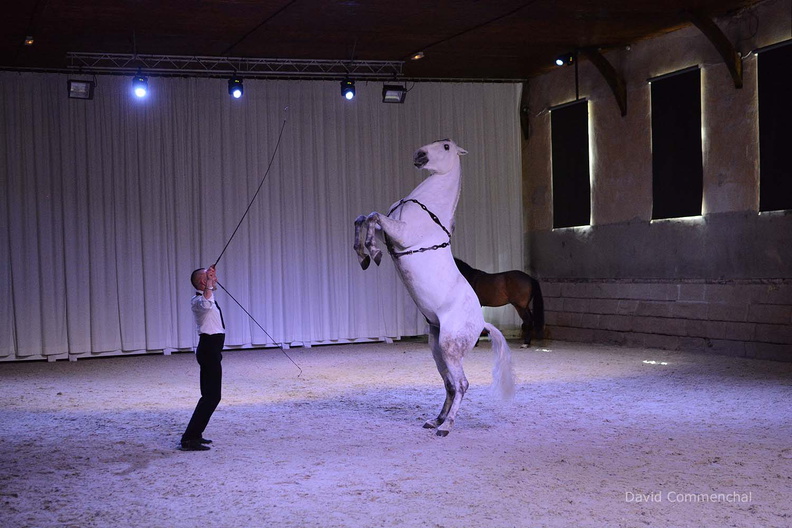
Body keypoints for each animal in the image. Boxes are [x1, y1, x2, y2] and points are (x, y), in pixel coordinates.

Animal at [354, 138, 516, 436]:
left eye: (446, 147)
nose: (419, 155)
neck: (428, 206)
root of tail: (482, 324)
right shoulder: (390, 232)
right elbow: (363, 218)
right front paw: (364, 255)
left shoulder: (402, 234)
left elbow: (373, 216)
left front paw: (372, 253)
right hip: (436, 347)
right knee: (450, 384)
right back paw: (435, 420)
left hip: (450, 347)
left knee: (461, 384)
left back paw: (446, 427)